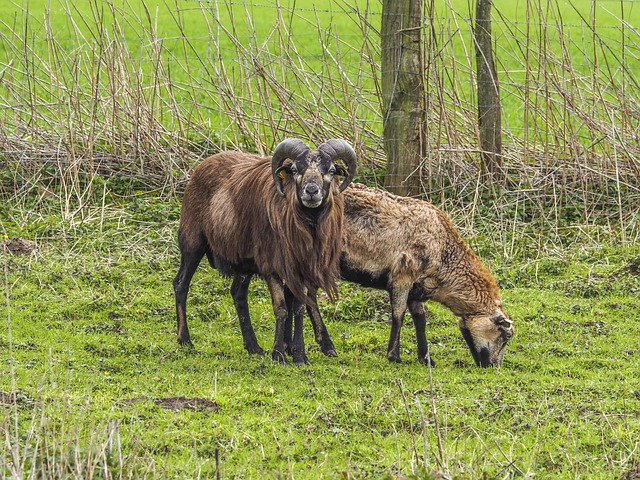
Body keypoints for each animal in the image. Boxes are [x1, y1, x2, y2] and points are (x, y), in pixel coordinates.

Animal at [172, 139, 358, 364]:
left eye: (331, 170)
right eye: (294, 170)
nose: (311, 191)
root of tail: (202, 166)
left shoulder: (302, 268)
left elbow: (300, 307)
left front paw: (299, 354)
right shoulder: (272, 266)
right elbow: (281, 308)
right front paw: (279, 353)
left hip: (244, 261)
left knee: (238, 294)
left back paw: (253, 346)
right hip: (193, 242)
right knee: (181, 284)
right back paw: (185, 340)